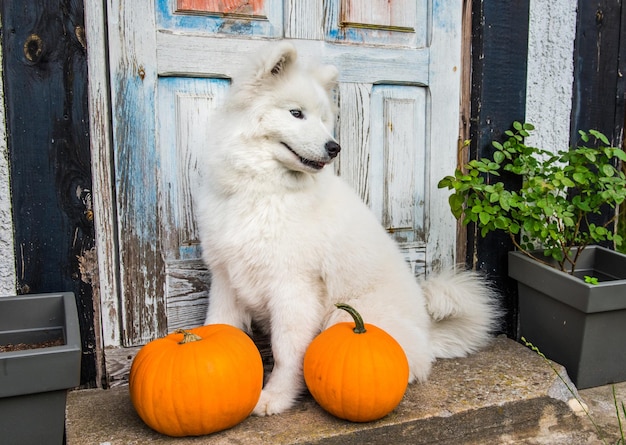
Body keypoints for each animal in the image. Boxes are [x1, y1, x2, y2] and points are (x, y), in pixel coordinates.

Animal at [193, 41, 500, 416]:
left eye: (324, 119)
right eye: (296, 113)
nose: (334, 147)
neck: (264, 190)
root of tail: (428, 336)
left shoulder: (293, 288)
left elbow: (285, 351)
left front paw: (275, 397)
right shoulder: (225, 279)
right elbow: (218, 326)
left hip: (344, 318)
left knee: (410, 365)